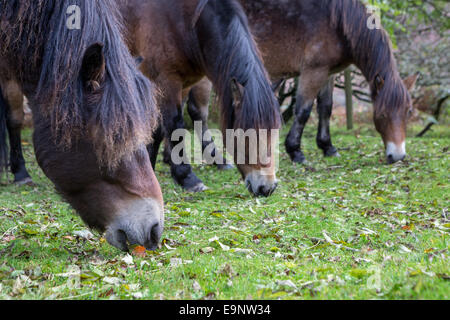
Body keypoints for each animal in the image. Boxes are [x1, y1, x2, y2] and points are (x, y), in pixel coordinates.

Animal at [119, 0, 282, 196]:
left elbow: (164, 125)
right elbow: (174, 123)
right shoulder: (165, 79)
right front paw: (187, 178)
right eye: (246, 134)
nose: (267, 187)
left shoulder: (184, 82)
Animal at [187, 0, 418, 164]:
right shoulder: (313, 72)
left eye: (408, 112)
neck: (337, 22)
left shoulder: (328, 73)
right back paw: (216, 159)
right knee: (199, 113)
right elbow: (304, 111)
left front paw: (327, 147)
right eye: (382, 114)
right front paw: (295, 151)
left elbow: (326, 108)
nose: (397, 156)